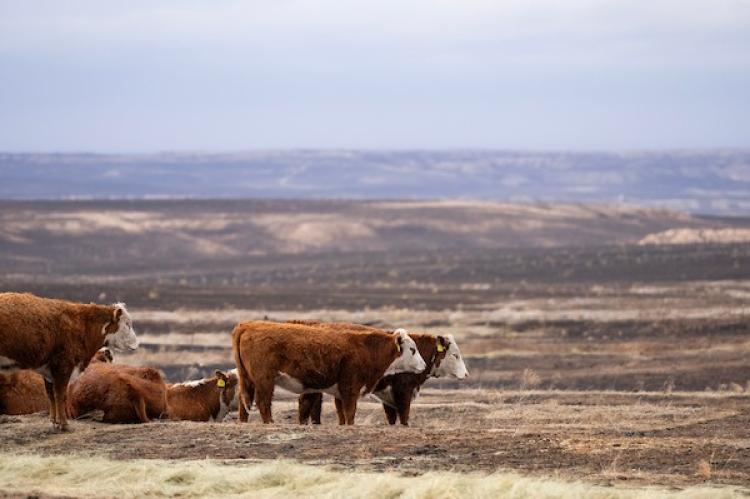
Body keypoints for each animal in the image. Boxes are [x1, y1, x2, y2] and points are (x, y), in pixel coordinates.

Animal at [0, 293, 138, 430]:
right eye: (127, 324)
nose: (136, 344)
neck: (82, 324)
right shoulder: (64, 366)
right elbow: (61, 395)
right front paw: (63, 423)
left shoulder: (49, 370)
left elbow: (51, 395)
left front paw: (54, 421)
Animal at [232, 320, 426, 424]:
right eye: (412, 349)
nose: (424, 365)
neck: (366, 348)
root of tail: (248, 325)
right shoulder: (350, 388)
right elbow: (350, 412)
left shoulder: (340, 392)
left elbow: (342, 414)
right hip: (264, 380)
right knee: (263, 402)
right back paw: (270, 422)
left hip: (247, 379)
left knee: (244, 400)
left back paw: (243, 421)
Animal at [300, 331, 468, 425]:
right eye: (455, 355)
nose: (466, 374)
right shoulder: (403, 393)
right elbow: (404, 418)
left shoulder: (388, 398)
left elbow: (391, 419)